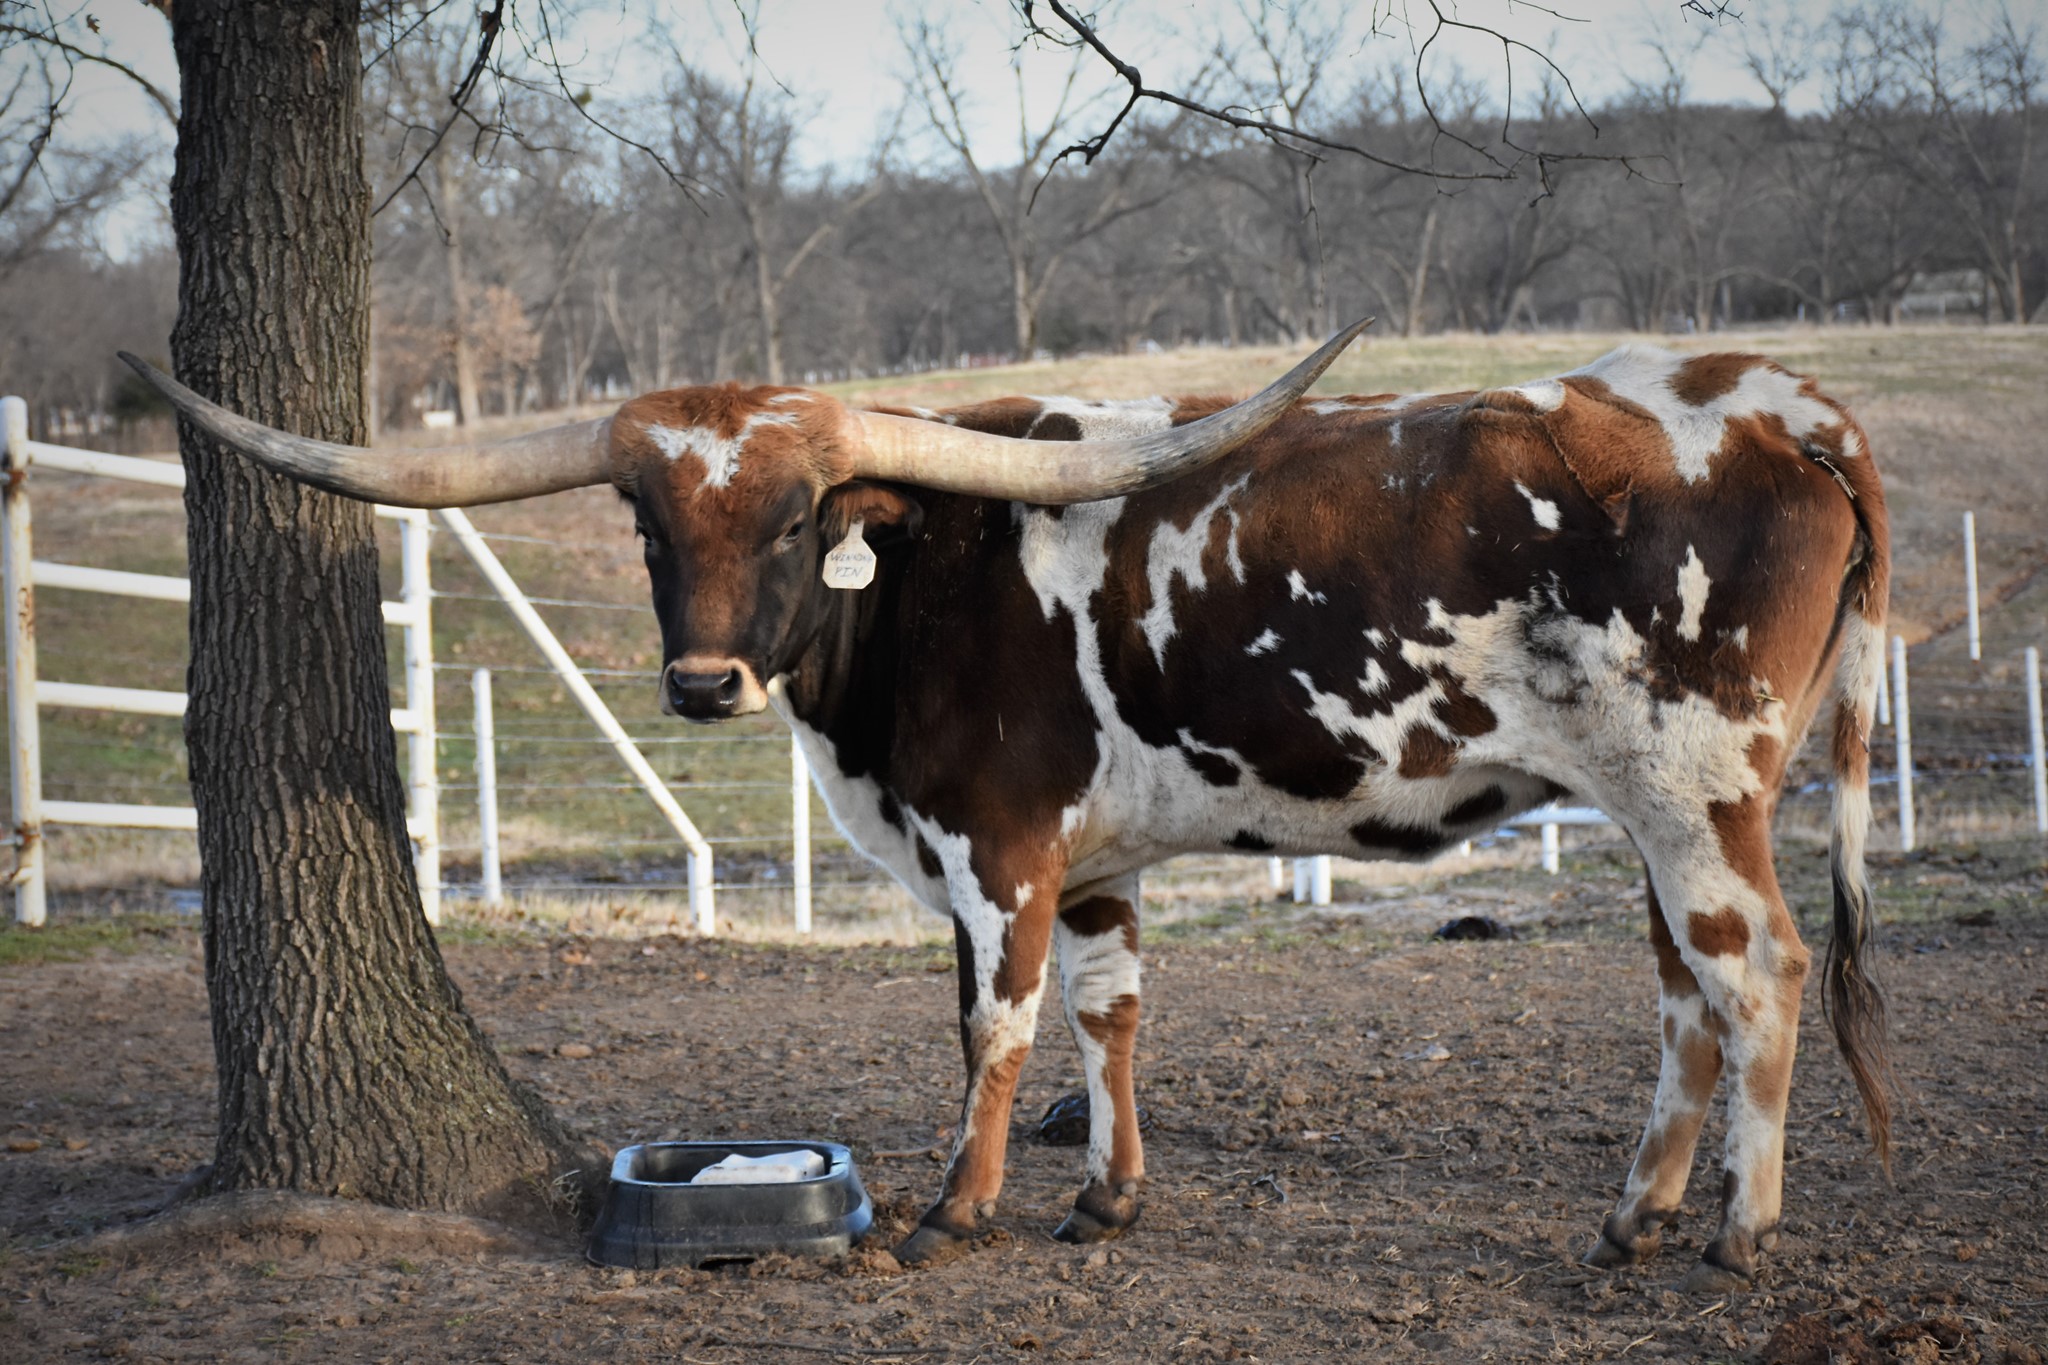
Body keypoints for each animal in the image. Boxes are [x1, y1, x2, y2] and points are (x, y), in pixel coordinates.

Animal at [124, 323, 1892, 1294]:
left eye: (797, 518)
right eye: (646, 523)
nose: (701, 681)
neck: (925, 572)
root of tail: (1781, 401)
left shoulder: (997, 845)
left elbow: (995, 1021)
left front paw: (954, 1209)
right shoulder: (1094, 856)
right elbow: (1110, 1010)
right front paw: (1104, 1198)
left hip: (1692, 783)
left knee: (1759, 970)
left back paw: (1741, 1232)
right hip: (1659, 804)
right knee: (1683, 993)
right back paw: (1636, 1216)